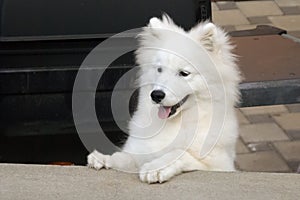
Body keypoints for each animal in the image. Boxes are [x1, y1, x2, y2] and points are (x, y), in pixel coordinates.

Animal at [87, 14, 241, 184]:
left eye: (184, 73)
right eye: (159, 69)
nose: (156, 95)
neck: (174, 124)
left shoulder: (219, 165)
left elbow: (178, 152)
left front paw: (155, 168)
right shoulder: (138, 152)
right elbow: (124, 157)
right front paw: (104, 159)